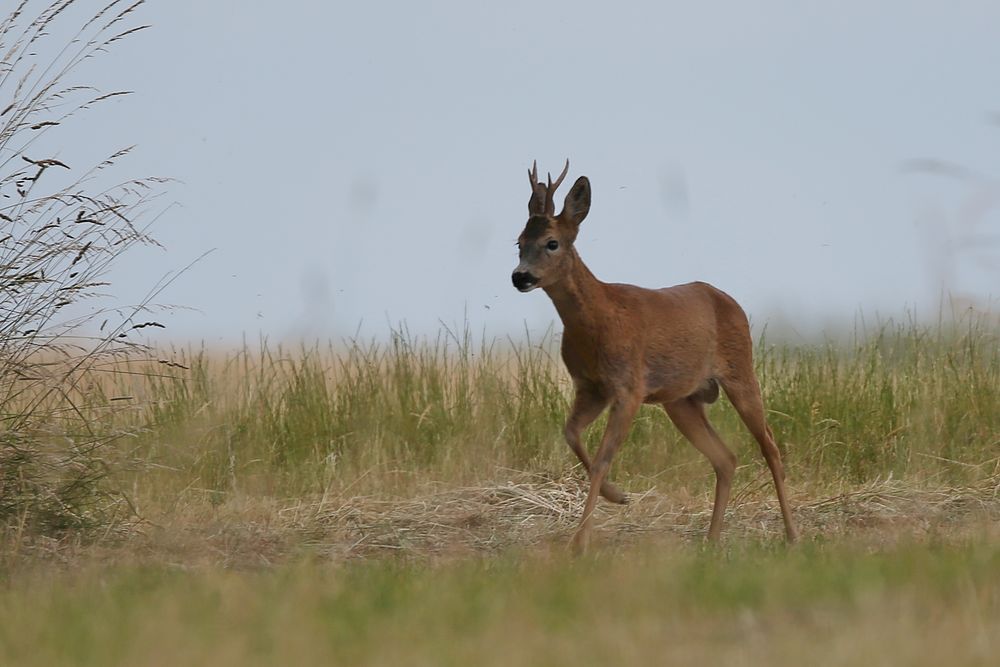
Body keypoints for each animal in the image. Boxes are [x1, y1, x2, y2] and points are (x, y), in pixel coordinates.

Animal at [512, 160, 800, 552]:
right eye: (519, 242)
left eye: (551, 243)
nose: (520, 277)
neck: (599, 321)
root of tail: (729, 300)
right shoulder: (591, 387)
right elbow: (571, 433)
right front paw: (616, 496)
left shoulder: (629, 388)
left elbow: (602, 459)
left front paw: (580, 542)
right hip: (681, 400)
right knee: (725, 458)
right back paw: (711, 540)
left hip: (741, 369)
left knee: (769, 446)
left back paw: (792, 534)